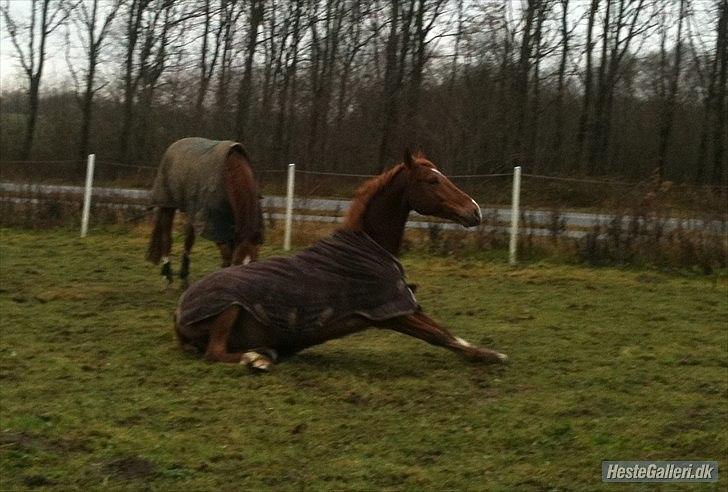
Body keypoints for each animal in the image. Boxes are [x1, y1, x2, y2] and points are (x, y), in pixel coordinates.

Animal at [146, 137, 264, 289]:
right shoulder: (217, 229)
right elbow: (227, 258)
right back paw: (167, 277)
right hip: (167, 204)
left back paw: (184, 278)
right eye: (237, 265)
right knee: (166, 237)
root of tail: (174, 145)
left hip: (193, 213)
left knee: (188, 242)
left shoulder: (228, 229)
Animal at [173, 150, 508, 371]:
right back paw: (256, 358)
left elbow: (448, 334)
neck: (367, 245)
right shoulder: (391, 313)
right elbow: (440, 335)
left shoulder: (404, 308)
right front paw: (492, 356)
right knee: (214, 352)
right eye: (431, 181)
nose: (475, 211)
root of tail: (178, 315)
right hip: (228, 308)